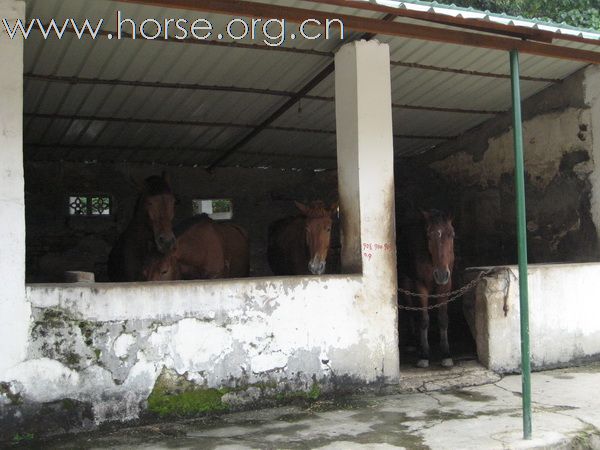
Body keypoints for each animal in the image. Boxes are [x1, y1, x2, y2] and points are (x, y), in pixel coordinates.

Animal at [398, 209, 454, 368]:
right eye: (428, 235)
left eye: (452, 234)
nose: (441, 274)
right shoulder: (420, 286)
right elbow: (423, 319)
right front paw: (424, 355)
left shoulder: (446, 286)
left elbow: (443, 318)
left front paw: (446, 354)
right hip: (405, 281)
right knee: (410, 310)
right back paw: (412, 343)